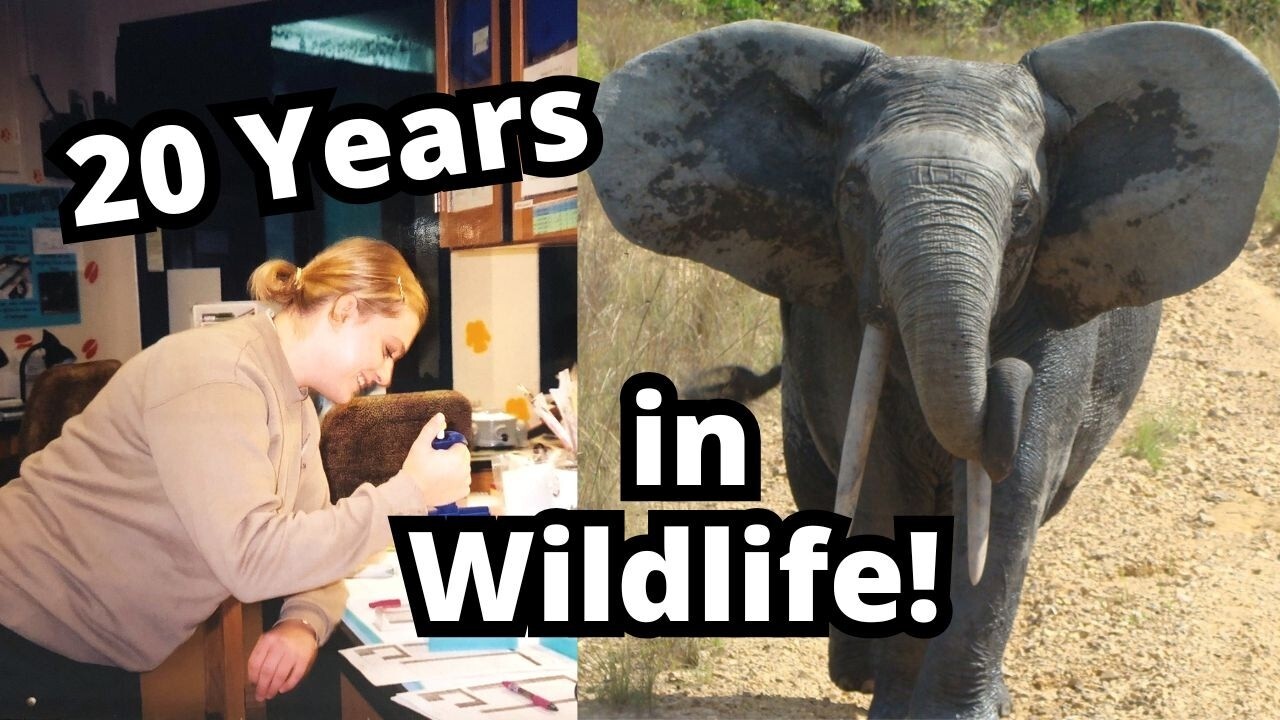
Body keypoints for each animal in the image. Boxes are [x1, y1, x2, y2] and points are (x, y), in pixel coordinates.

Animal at [588, 20, 1280, 719]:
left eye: (1025, 209)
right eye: (853, 193)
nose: (1006, 375)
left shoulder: (1055, 310)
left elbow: (1015, 483)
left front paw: (955, 712)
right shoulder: (835, 310)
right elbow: (880, 478)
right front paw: (895, 706)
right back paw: (858, 675)